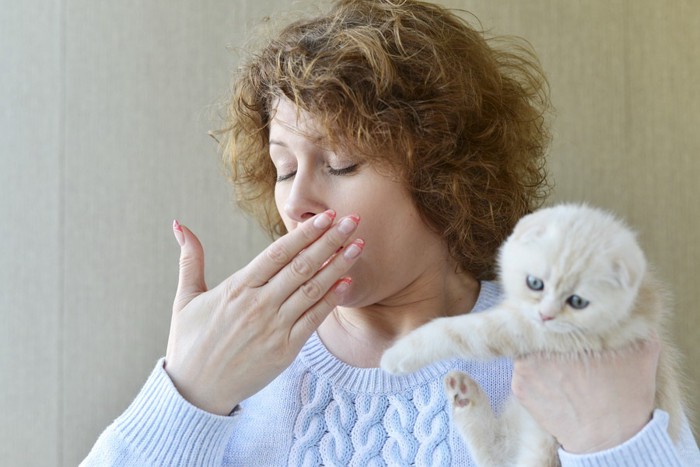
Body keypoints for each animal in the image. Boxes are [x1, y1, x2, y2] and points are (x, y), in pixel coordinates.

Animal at [380, 204, 688, 467]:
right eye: (535, 283)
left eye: (577, 302)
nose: (546, 315)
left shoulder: (543, 335)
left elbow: (461, 330)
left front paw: (397, 355)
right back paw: (465, 397)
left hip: (544, 444)